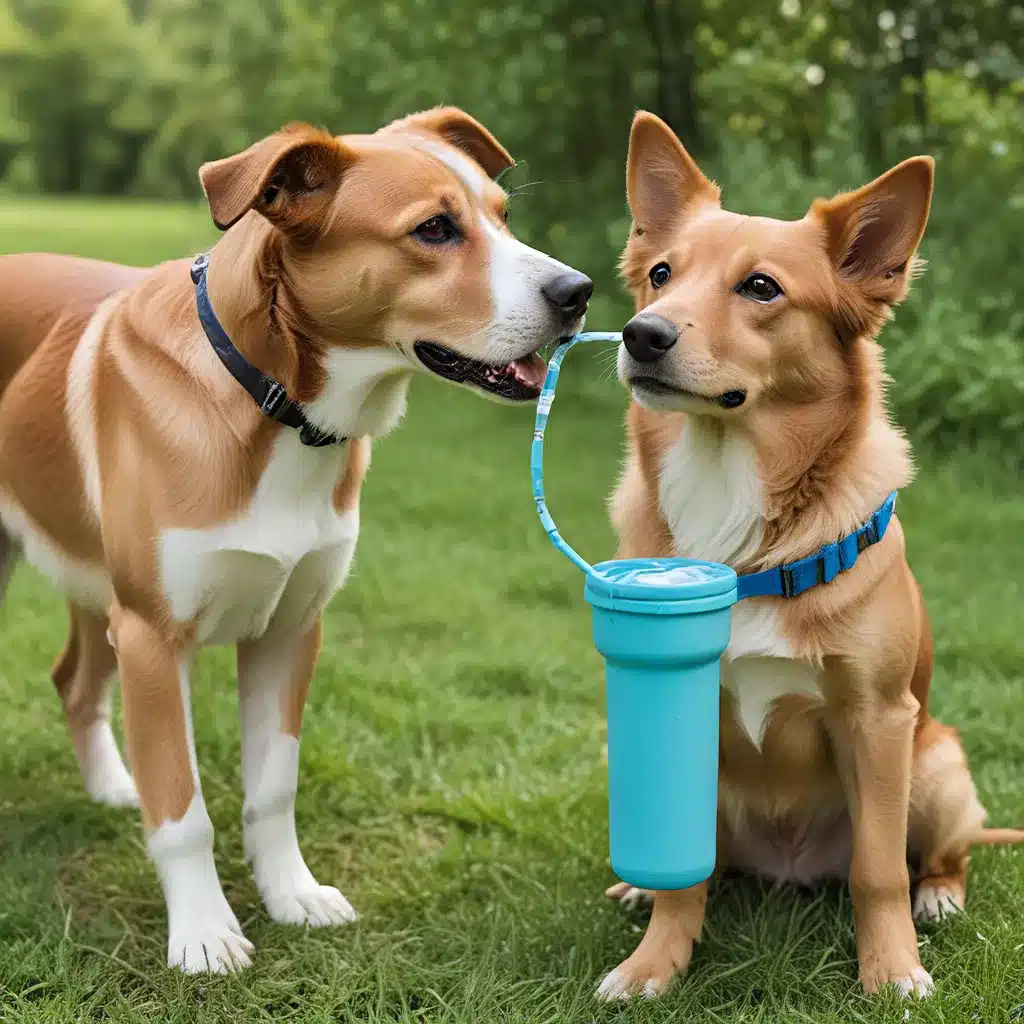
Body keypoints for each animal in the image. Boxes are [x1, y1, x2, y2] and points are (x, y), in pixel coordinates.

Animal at [0, 105, 593, 974]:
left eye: (502, 216)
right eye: (435, 229)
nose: (578, 292)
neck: (275, 404)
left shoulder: (289, 628)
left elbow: (273, 788)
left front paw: (290, 895)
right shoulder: (152, 637)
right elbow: (182, 811)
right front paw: (203, 931)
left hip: (95, 586)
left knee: (74, 680)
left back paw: (112, 786)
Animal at [598, 112, 1019, 999]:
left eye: (761, 288)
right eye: (660, 274)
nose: (642, 335)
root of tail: (790, 869)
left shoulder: (878, 719)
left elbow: (877, 872)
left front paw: (893, 970)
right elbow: (683, 880)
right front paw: (655, 962)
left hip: (937, 766)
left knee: (938, 855)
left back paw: (939, 898)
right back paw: (637, 889)